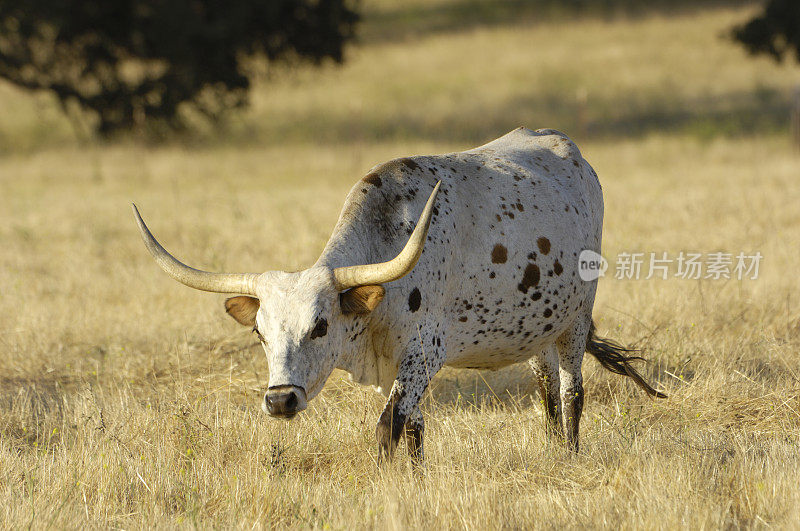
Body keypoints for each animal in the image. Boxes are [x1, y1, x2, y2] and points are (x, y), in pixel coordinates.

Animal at [133, 127, 664, 464]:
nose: (281, 400)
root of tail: (568, 149)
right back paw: (552, 448)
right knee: (547, 387)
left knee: (573, 390)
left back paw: (570, 454)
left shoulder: (424, 353)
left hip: (576, 316)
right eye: (260, 335)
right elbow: (414, 428)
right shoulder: (396, 365)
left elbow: (388, 426)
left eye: (320, 326)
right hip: (536, 323)